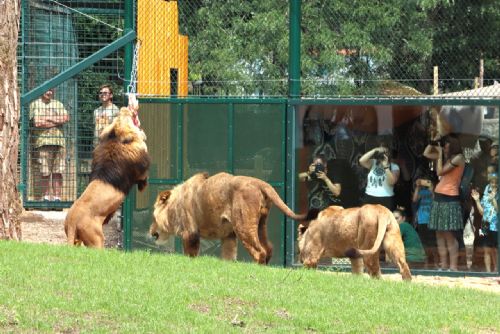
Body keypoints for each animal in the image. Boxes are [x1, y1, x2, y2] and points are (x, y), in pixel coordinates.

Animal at [64, 105, 150, 247]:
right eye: (121, 117)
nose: (124, 107)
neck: (115, 140)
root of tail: (72, 222)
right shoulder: (140, 168)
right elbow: (144, 177)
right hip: (97, 240)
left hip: (77, 240)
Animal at [148, 172, 304, 264]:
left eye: (153, 218)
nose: (151, 232)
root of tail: (261, 183)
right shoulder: (228, 235)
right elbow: (229, 256)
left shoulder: (190, 232)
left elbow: (190, 253)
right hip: (261, 224)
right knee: (269, 248)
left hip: (243, 226)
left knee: (260, 251)